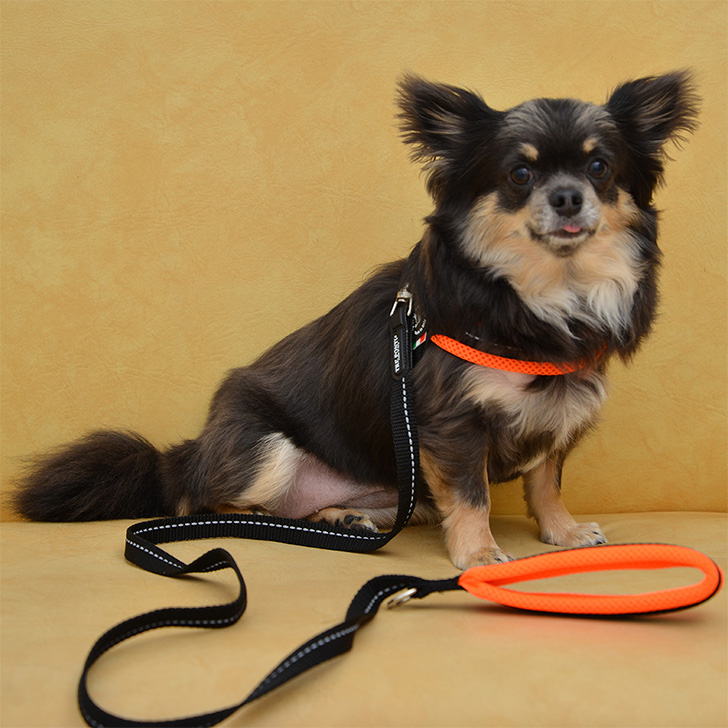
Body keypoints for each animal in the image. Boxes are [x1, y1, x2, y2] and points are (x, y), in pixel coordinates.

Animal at [13, 72, 698, 569]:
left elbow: (546, 479)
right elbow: (473, 495)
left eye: (599, 168)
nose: (566, 197)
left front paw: (562, 532)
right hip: (264, 448)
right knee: (209, 503)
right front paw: (479, 553)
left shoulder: (561, 405)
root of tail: (183, 455)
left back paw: (343, 518)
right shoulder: (453, 423)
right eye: (520, 174)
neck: (547, 294)